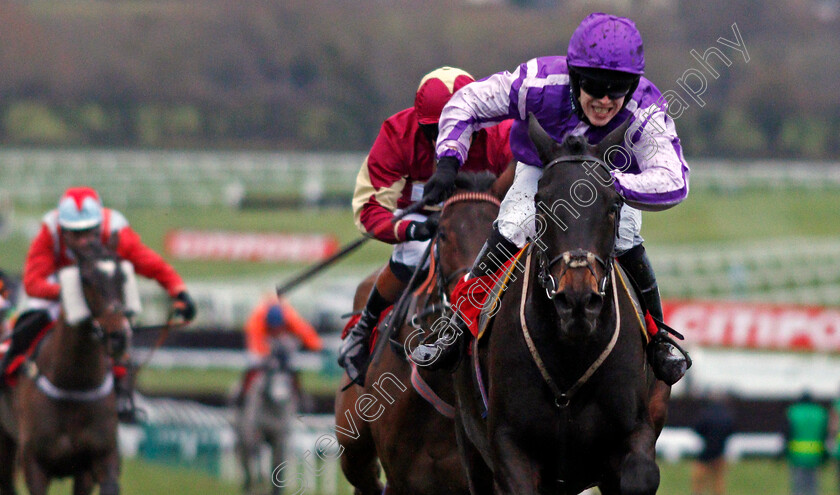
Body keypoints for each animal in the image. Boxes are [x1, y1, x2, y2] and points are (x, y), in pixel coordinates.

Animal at [0, 242, 138, 495]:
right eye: (86, 279)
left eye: (122, 277)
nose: (118, 336)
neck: (73, 384)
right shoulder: (34, 464)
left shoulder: (98, 459)